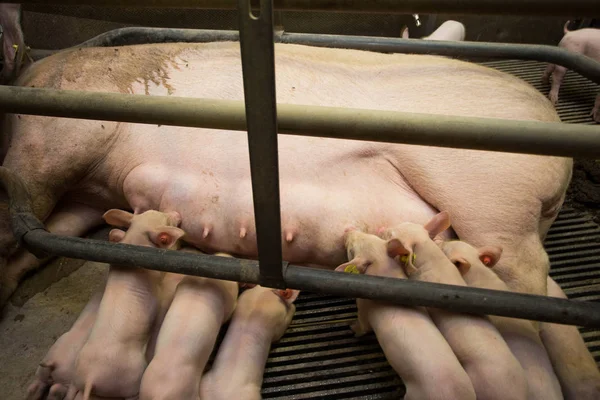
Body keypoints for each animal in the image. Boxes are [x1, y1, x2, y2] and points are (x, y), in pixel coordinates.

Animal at [0, 41, 572, 300]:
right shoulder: (86, 189)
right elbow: (37, 234)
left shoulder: (57, 141)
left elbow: (17, 208)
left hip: (489, 196)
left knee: (527, 273)